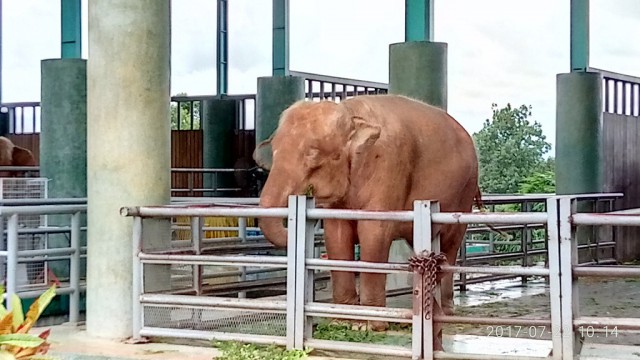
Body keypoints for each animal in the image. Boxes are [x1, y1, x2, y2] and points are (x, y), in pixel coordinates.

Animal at [251, 93, 480, 332]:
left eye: (315, 154)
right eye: (273, 150)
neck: (351, 113)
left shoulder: (389, 165)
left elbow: (373, 232)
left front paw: (370, 326)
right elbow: (337, 235)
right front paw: (342, 323)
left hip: (465, 191)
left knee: (450, 243)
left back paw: (445, 313)